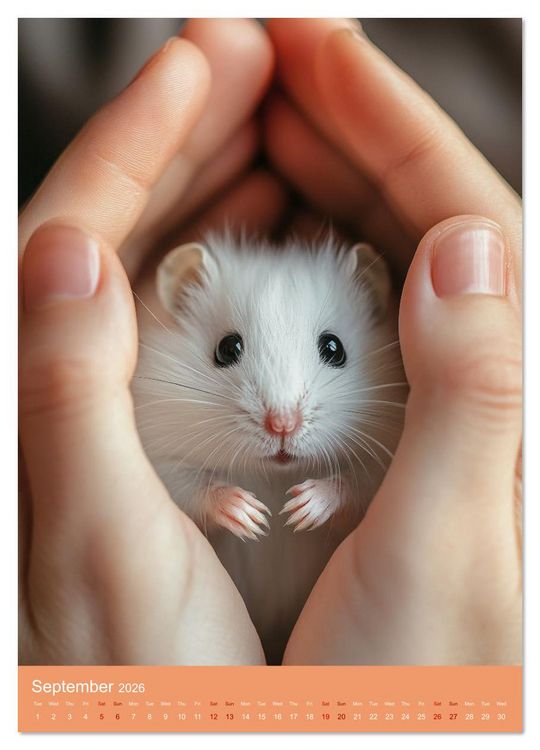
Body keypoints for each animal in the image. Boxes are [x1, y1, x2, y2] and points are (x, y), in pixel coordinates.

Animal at [131, 231, 406, 663]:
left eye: (334, 348)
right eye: (227, 348)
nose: (282, 425)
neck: (275, 476)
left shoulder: (385, 457)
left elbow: (355, 484)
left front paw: (299, 510)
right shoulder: (159, 455)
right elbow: (191, 485)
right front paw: (253, 516)